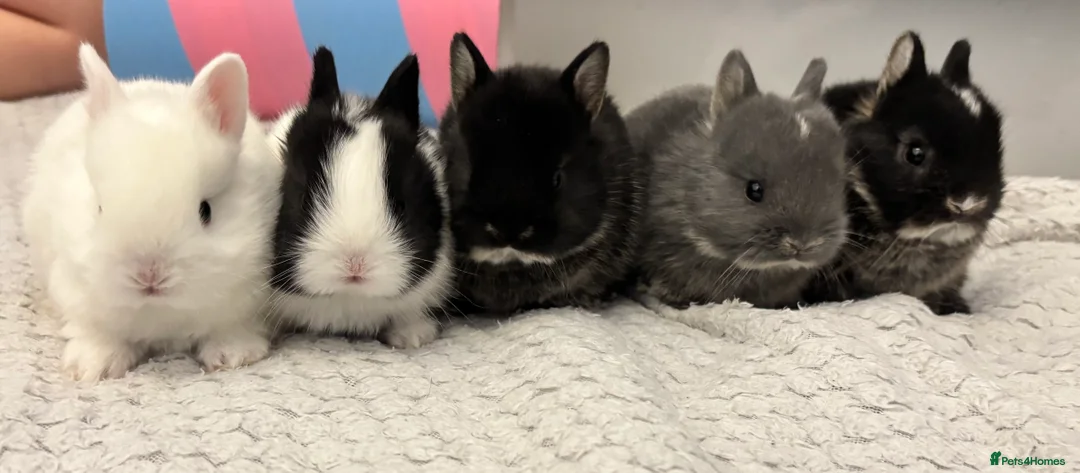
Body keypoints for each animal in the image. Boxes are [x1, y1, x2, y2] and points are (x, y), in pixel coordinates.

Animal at [19, 44, 281, 381]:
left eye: (205, 210)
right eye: (100, 208)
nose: (149, 275)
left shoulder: (246, 301)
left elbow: (230, 329)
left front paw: (233, 357)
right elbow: (96, 332)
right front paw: (93, 367)